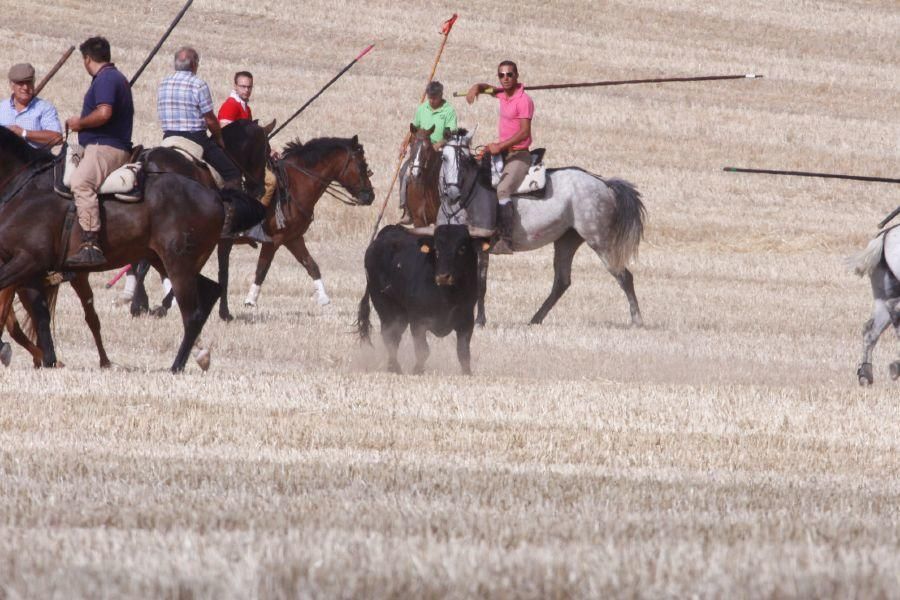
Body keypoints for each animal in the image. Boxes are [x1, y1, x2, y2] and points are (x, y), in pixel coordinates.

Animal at [0, 126, 266, 370]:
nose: (260, 185)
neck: (27, 190)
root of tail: (215, 195)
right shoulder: (30, 269)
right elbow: (38, 314)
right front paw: (47, 359)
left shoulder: (29, 260)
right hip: (170, 262)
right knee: (208, 292)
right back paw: (198, 354)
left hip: (177, 264)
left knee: (192, 314)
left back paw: (176, 366)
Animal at [356, 225, 482, 376]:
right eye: (436, 249)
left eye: (462, 249)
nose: (443, 276)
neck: (447, 295)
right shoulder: (418, 321)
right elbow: (423, 350)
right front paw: (417, 371)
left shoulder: (467, 320)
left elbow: (463, 352)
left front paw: (467, 373)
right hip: (386, 308)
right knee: (390, 337)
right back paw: (395, 368)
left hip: (401, 315)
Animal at [438, 132, 644, 328]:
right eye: (444, 158)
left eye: (465, 159)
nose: (452, 194)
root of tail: (604, 184)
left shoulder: (481, 248)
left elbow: (480, 284)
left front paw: (479, 321)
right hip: (566, 241)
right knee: (562, 281)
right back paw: (535, 319)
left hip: (600, 242)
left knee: (623, 276)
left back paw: (637, 320)